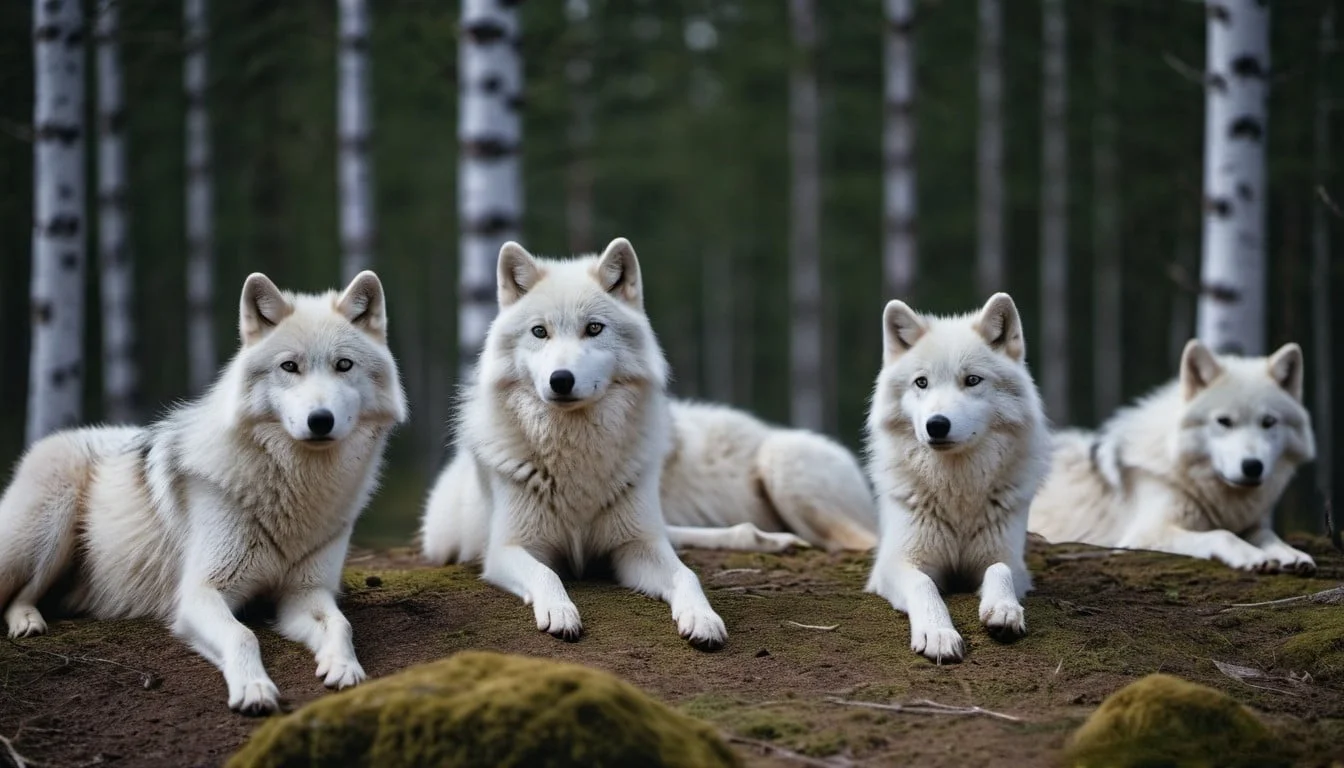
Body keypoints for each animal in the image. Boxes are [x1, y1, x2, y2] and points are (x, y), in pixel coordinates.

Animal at [0, 271, 407, 715]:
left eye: (344, 365)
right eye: (289, 366)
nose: (320, 420)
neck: (296, 489)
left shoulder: (304, 591)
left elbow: (340, 623)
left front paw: (344, 667)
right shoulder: (199, 593)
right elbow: (243, 635)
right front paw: (254, 688)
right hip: (46, 533)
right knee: (17, 596)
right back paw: (28, 622)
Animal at [420, 238, 727, 649]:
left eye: (594, 328)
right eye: (539, 332)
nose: (560, 379)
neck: (574, 449)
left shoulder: (637, 543)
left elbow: (687, 574)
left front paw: (703, 618)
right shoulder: (507, 549)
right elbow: (547, 574)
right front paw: (560, 612)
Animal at [863, 293, 1050, 664]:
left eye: (972, 380)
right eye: (921, 382)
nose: (936, 424)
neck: (956, 489)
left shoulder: (1010, 560)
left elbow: (999, 570)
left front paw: (1004, 609)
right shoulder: (893, 564)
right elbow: (924, 585)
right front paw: (938, 634)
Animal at [1029, 339, 1317, 574]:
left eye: (1268, 422)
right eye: (1224, 421)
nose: (1252, 466)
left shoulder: (1252, 524)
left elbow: (1268, 535)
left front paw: (1292, 554)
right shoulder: (1145, 534)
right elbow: (1221, 534)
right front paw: (1254, 557)